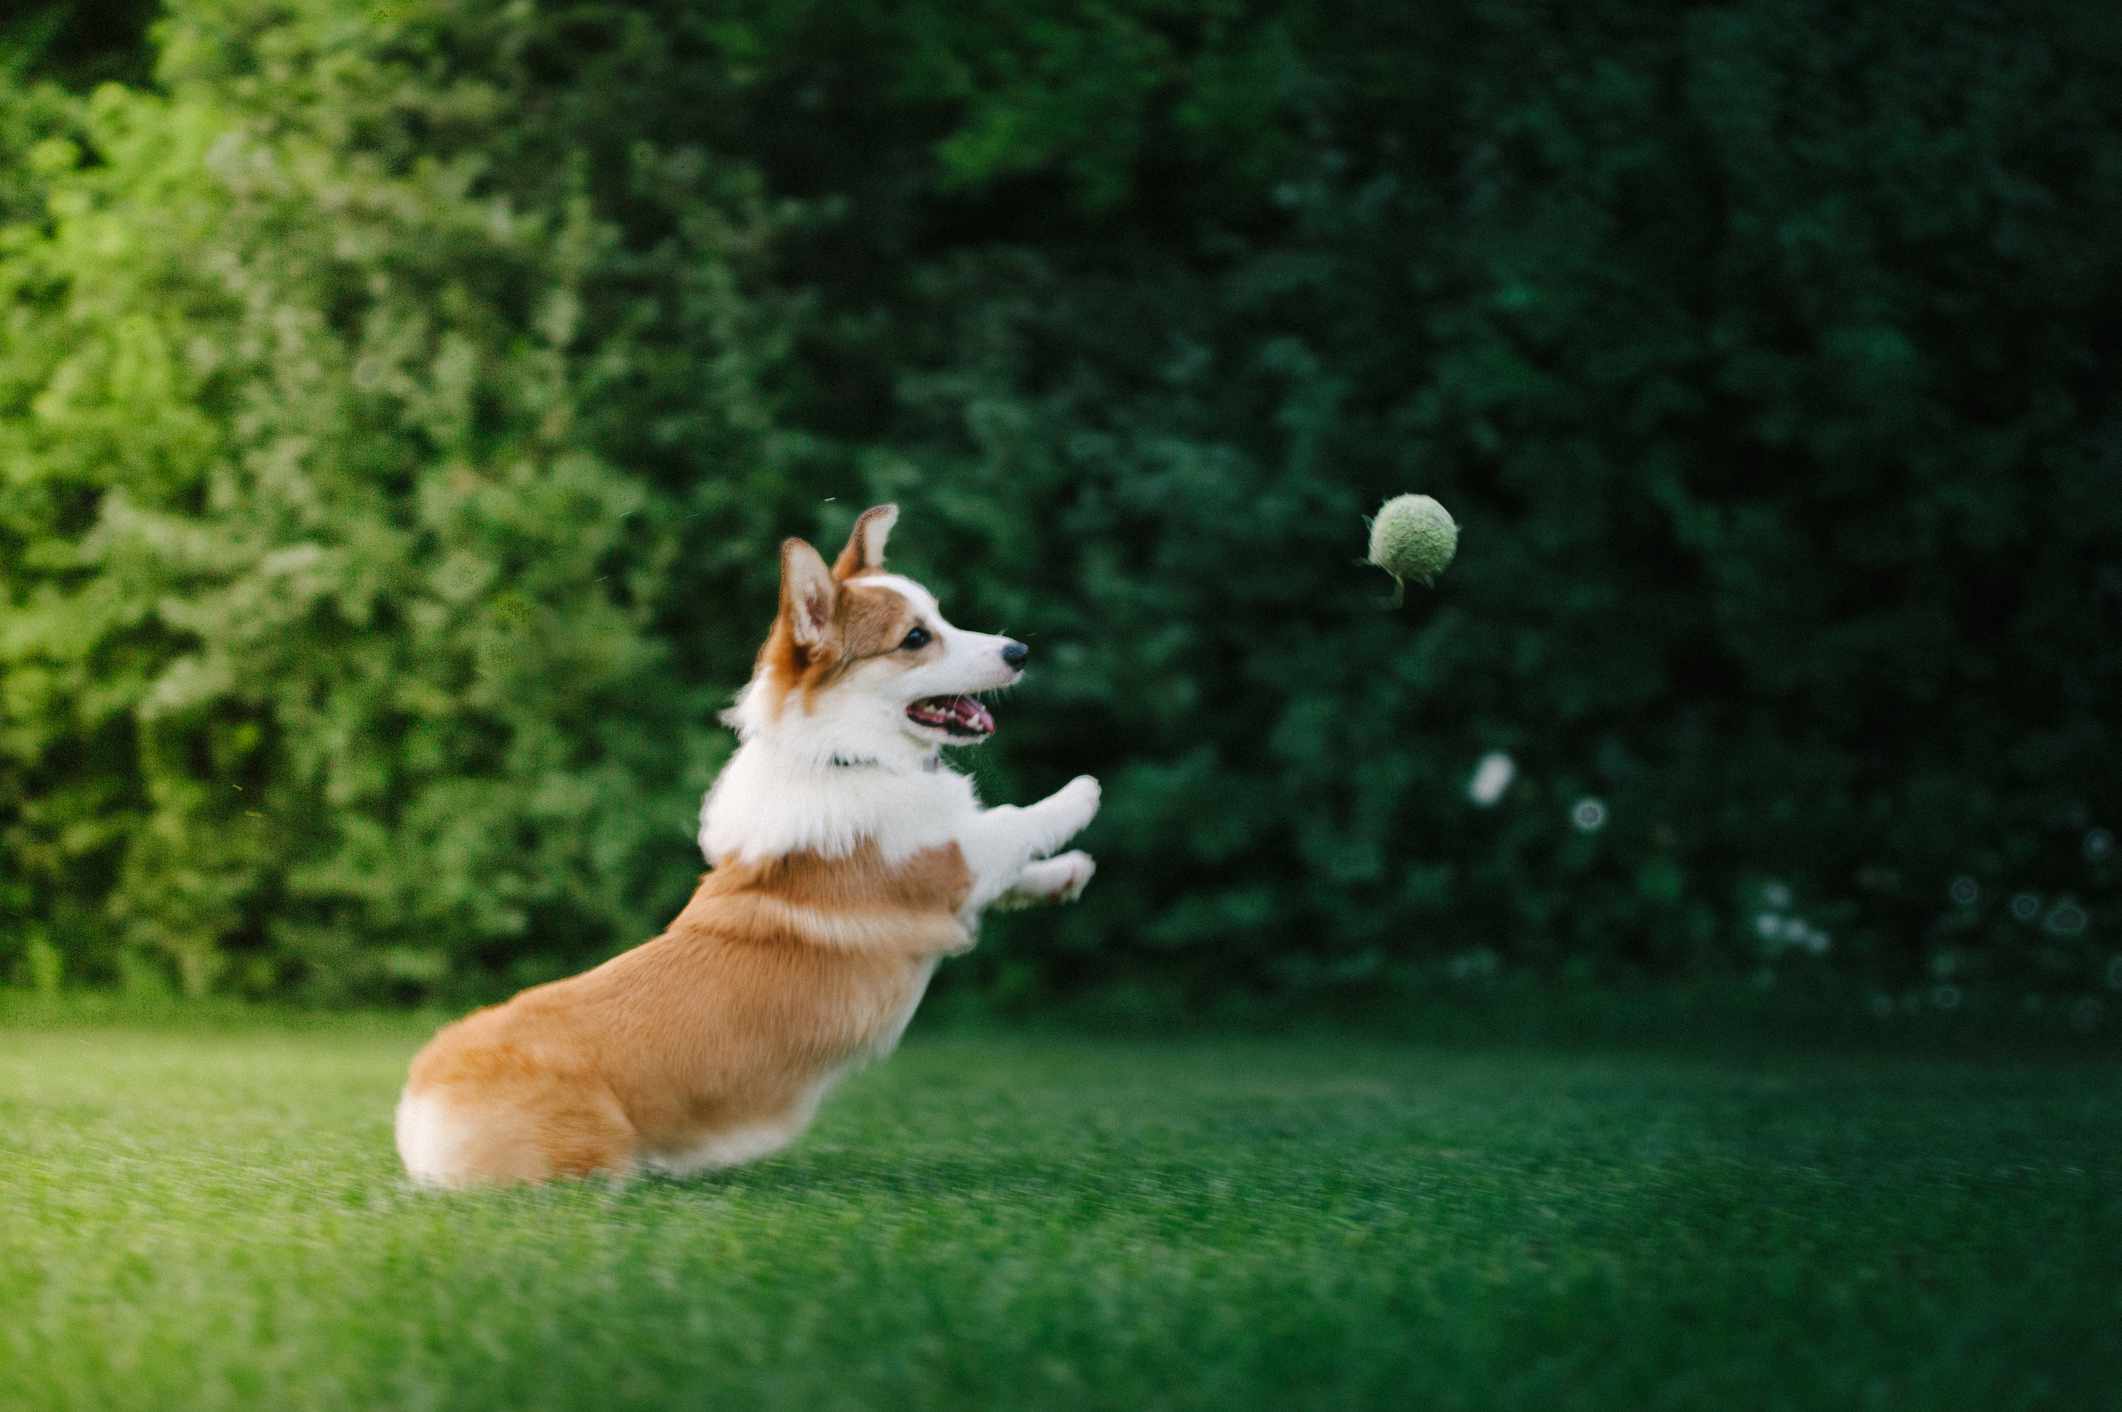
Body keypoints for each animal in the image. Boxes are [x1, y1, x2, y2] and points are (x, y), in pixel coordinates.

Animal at [394, 501, 1111, 1180]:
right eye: (915, 638)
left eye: (941, 616)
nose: (1019, 653)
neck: (844, 757)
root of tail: (418, 1112)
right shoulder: (949, 861)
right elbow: (1012, 822)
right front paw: (1083, 791)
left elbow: (1018, 866)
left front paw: (1068, 874)